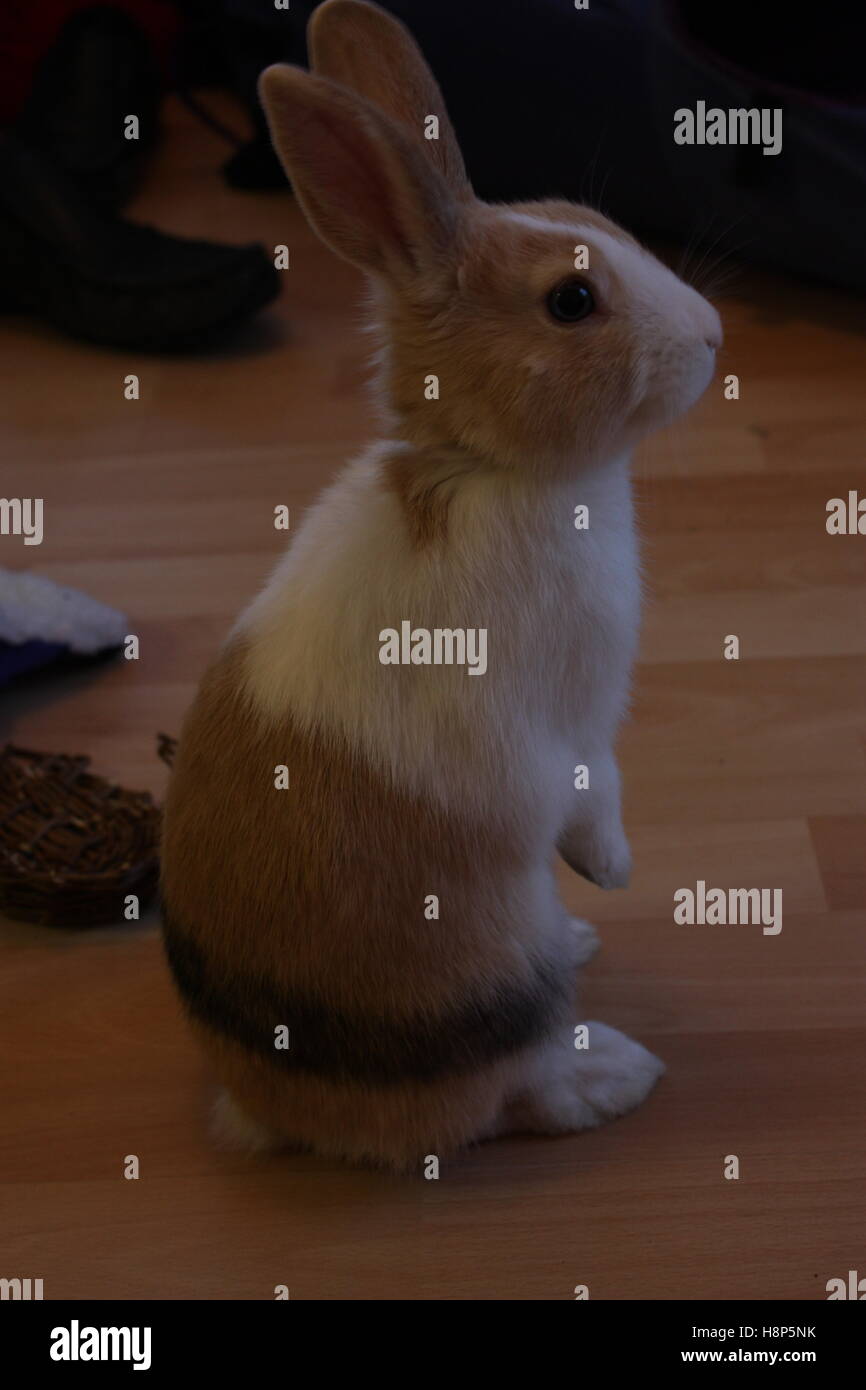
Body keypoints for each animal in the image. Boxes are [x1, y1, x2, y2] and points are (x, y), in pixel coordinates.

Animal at [160, 0, 721, 1173]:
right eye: (571, 299)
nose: (711, 335)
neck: (489, 470)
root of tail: (275, 1106)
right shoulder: (576, 715)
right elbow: (593, 791)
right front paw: (615, 873)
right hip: (504, 985)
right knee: (511, 1097)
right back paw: (613, 1071)